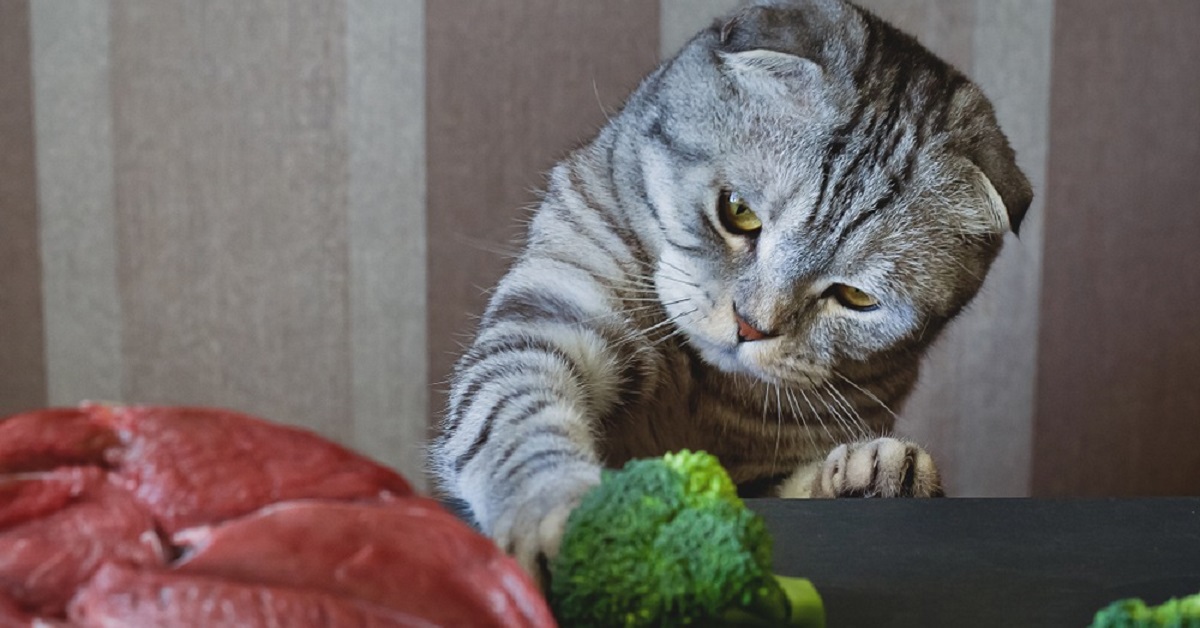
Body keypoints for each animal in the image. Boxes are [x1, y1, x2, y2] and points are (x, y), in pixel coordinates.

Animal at [429, 0, 1032, 585]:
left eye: (857, 299)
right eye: (738, 212)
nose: (750, 325)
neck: (692, 392)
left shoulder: (770, 467)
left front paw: (873, 477)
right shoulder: (550, 317)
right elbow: (519, 422)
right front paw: (565, 515)